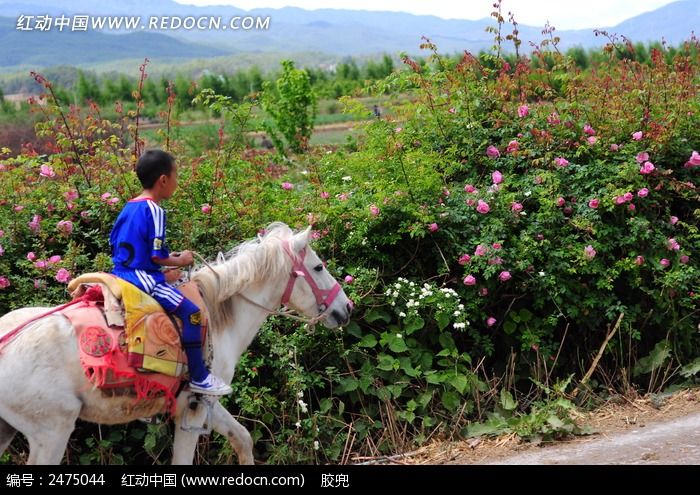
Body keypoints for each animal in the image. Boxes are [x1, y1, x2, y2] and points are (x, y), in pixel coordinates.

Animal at [0, 225, 352, 464]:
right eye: (319, 267)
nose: (346, 308)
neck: (218, 316)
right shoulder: (193, 411)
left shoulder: (208, 404)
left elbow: (243, 439)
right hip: (52, 433)